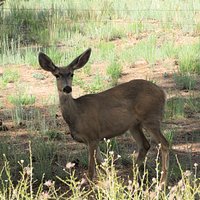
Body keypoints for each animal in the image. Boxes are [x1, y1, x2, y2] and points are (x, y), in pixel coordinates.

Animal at [38, 47, 169, 185]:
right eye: (57, 75)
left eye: (72, 74)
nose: (67, 88)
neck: (76, 114)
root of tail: (163, 92)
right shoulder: (92, 140)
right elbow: (103, 164)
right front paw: (112, 183)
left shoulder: (92, 136)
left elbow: (91, 171)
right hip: (134, 125)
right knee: (145, 145)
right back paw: (131, 180)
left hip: (151, 118)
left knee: (164, 144)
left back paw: (162, 183)